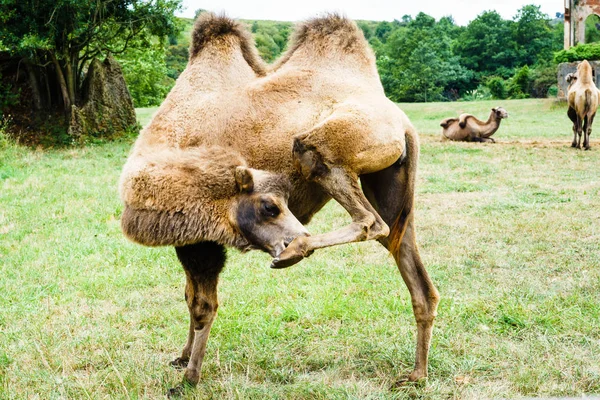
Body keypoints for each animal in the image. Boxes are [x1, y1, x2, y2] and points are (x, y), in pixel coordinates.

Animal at [117, 12, 438, 394]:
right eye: (270, 208)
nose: (287, 235)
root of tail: (404, 124)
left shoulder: (202, 239)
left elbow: (202, 305)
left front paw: (189, 379)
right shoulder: (193, 238)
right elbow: (188, 295)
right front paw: (181, 357)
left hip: (324, 147)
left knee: (369, 220)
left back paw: (296, 250)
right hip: (392, 182)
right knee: (410, 264)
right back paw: (416, 374)